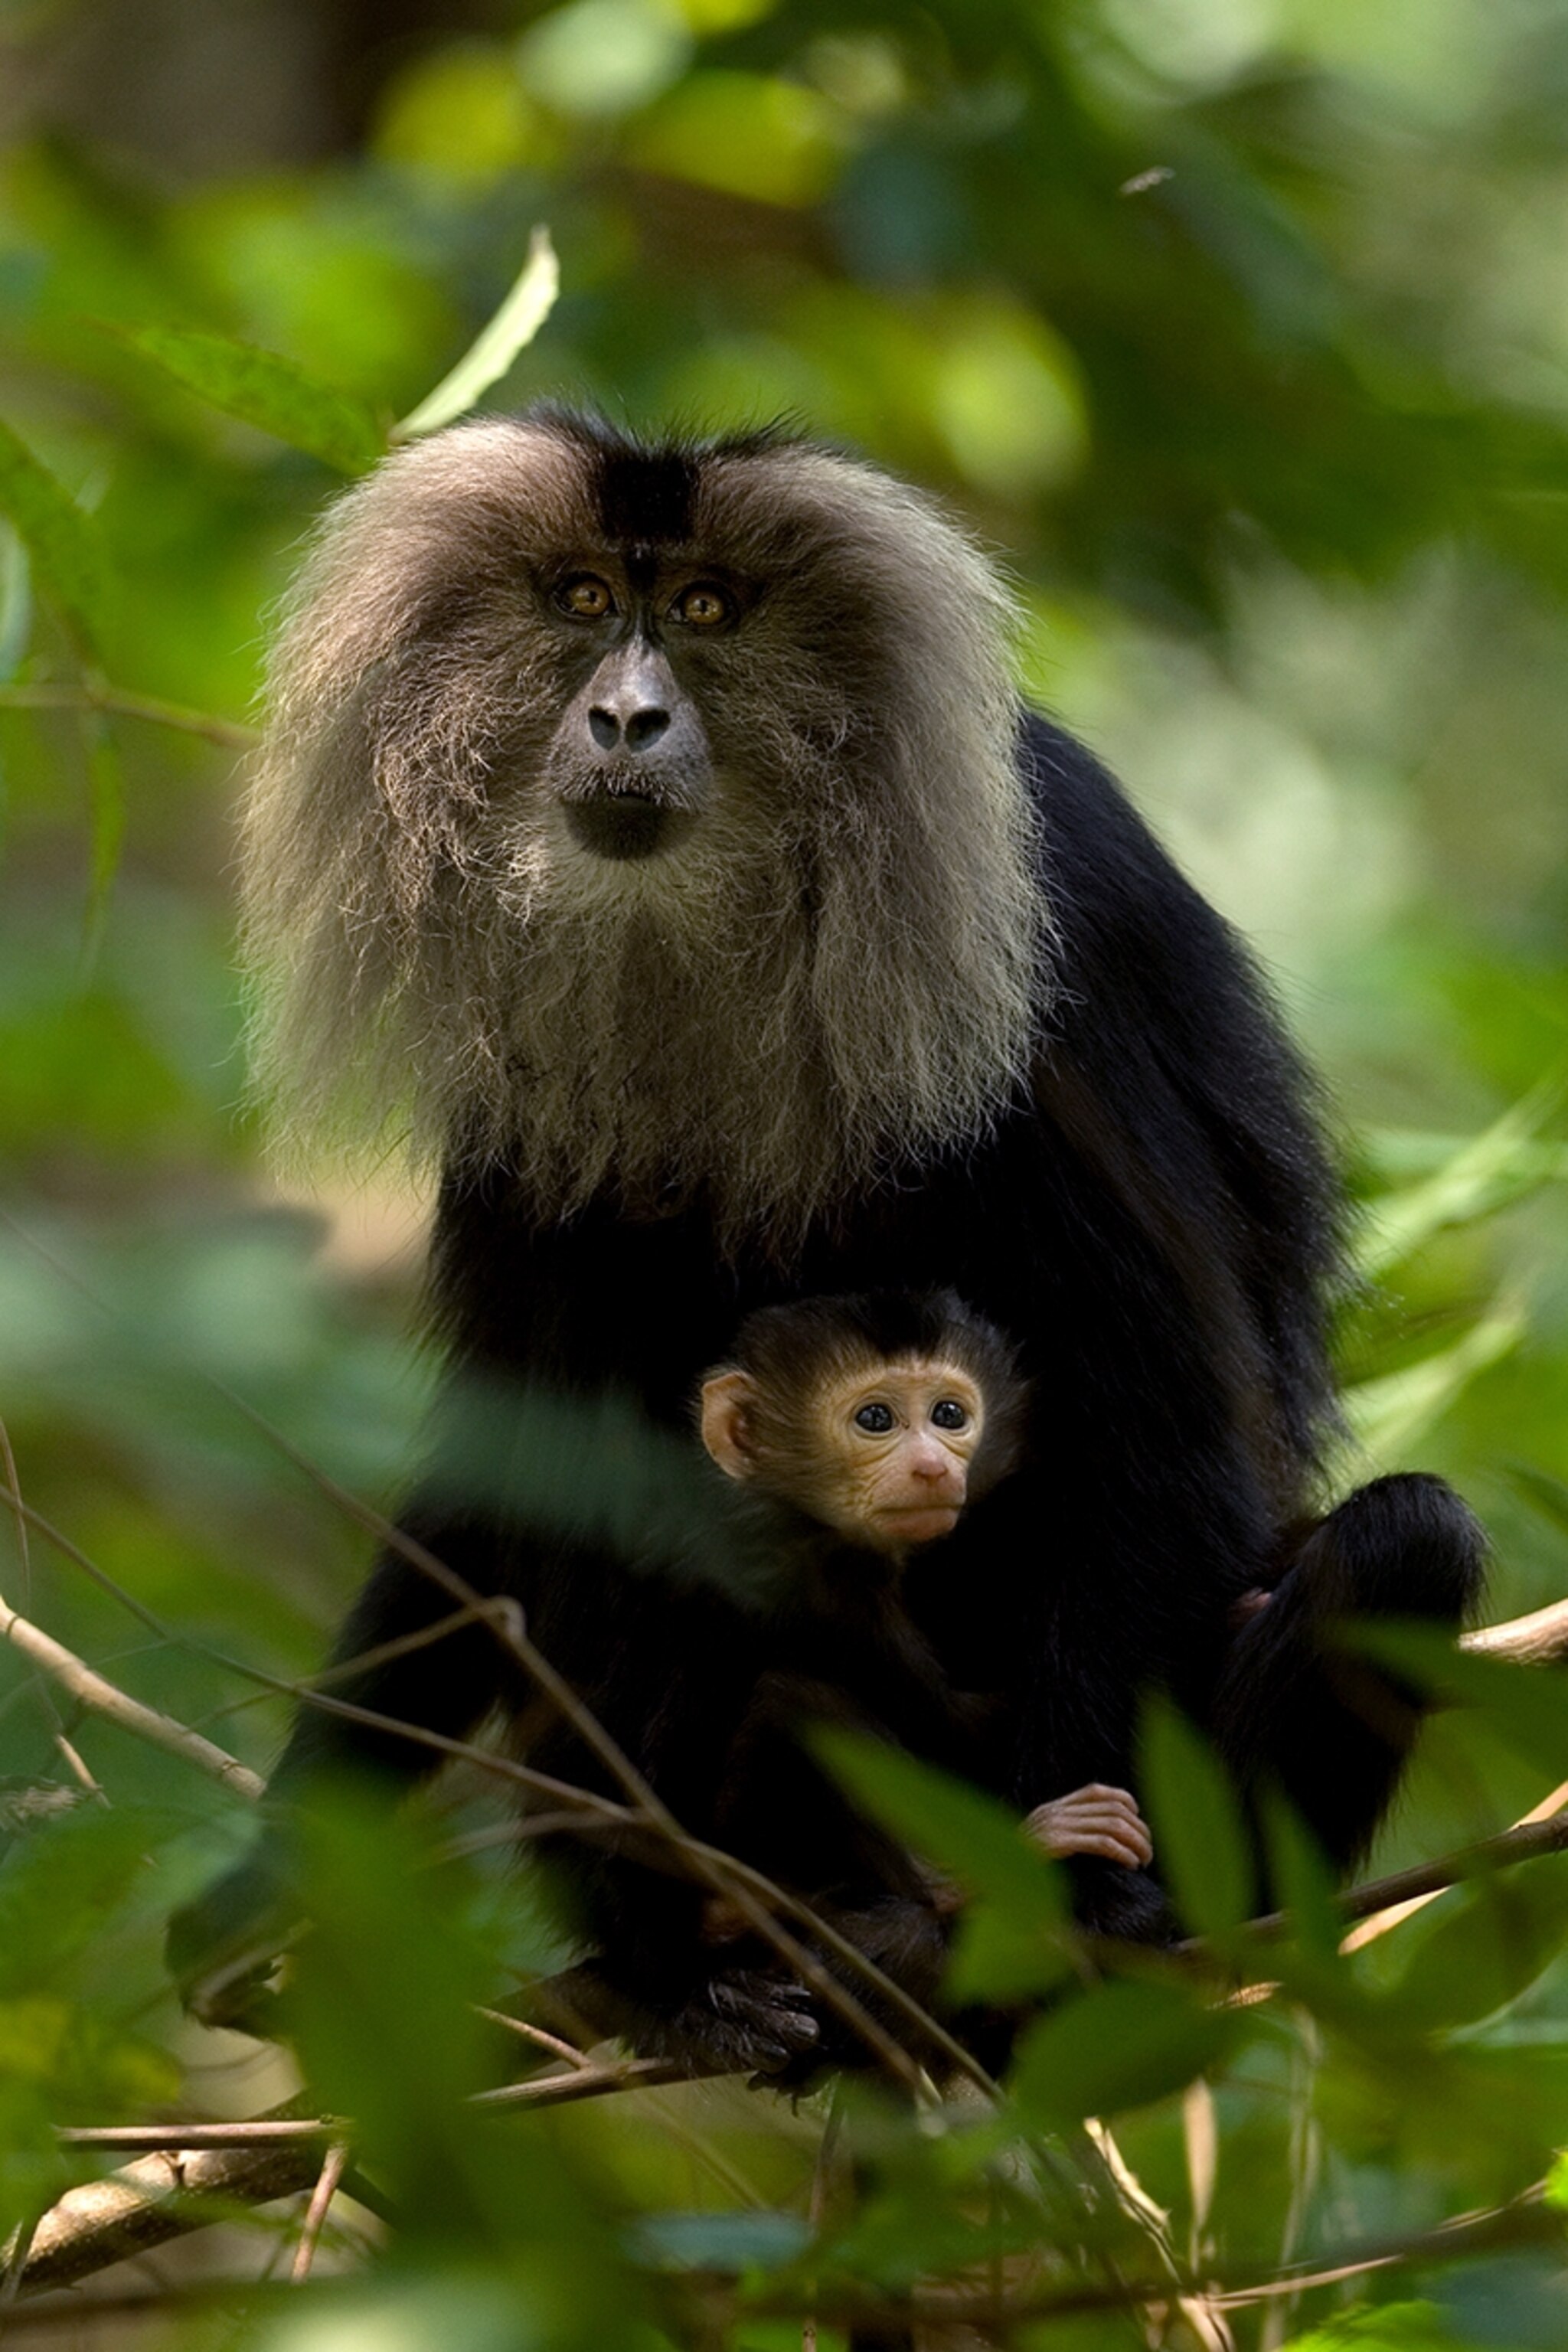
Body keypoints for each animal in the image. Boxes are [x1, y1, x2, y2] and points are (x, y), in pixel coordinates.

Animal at [167, 410, 1485, 2072]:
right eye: (585, 601)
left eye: (708, 610)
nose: (624, 716)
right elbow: (523, 1460)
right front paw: (285, 1874)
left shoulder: (1038, 937)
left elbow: (1169, 1411)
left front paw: (1078, 1892)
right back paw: (693, 1969)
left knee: (1403, 1534)